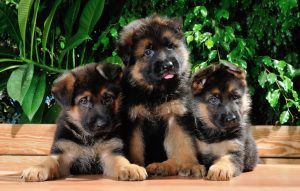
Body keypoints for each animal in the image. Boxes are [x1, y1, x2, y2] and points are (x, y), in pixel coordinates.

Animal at [116, 15, 204, 178]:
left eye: (170, 46)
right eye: (148, 52)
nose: (168, 65)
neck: (155, 93)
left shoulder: (177, 115)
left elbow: (184, 142)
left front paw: (189, 165)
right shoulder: (134, 120)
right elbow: (135, 147)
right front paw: (135, 167)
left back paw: (163, 166)